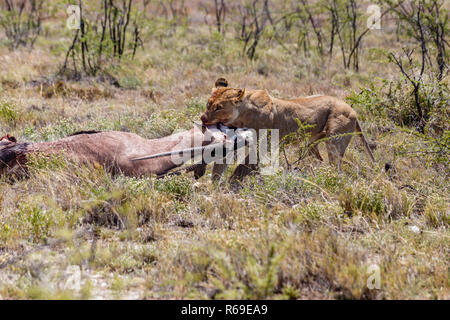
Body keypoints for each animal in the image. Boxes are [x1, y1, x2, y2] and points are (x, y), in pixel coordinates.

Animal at [201, 77, 376, 174]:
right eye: (208, 104)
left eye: (218, 108)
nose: (203, 118)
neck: (243, 113)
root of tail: (353, 110)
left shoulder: (262, 144)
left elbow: (244, 166)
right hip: (312, 145)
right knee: (326, 162)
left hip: (334, 141)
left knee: (337, 167)